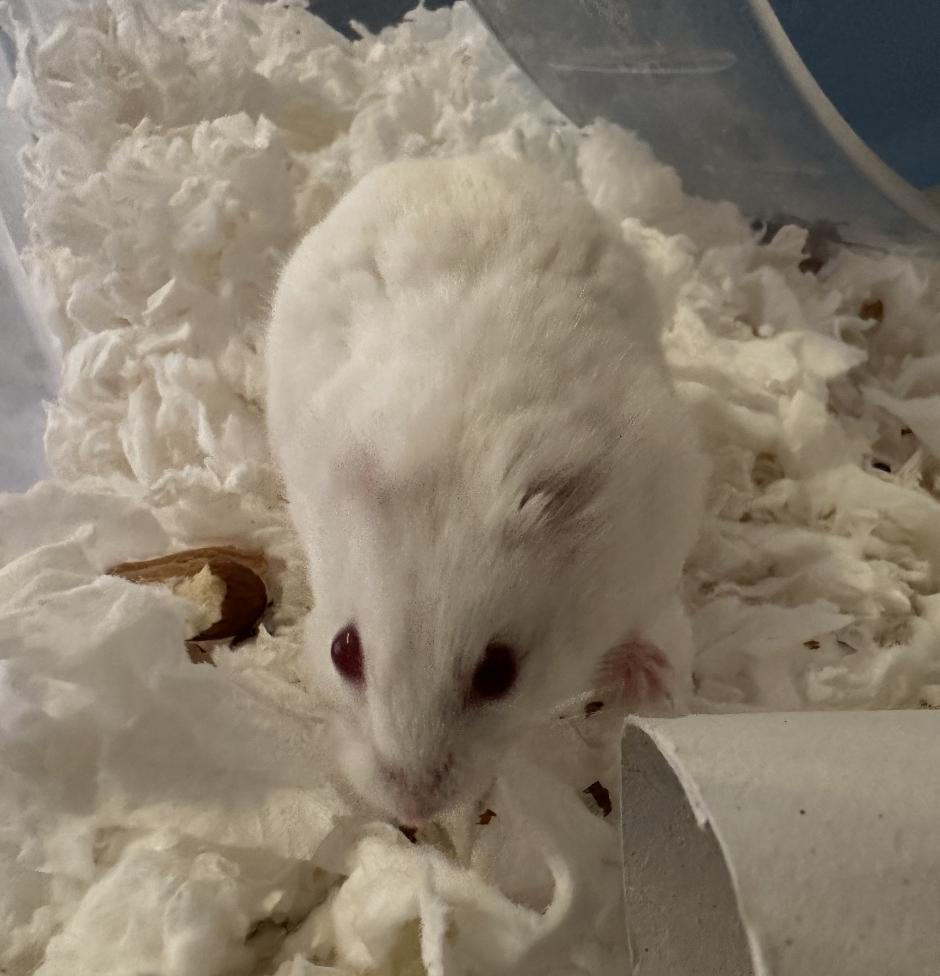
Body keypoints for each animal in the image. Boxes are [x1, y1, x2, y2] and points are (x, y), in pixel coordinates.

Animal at [264, 154, 707, 825]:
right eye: (343, 651)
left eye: (500, 671)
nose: (414, 807)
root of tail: (450, 158)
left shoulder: (655, 543)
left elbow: (657, 627)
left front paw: (657, 688)